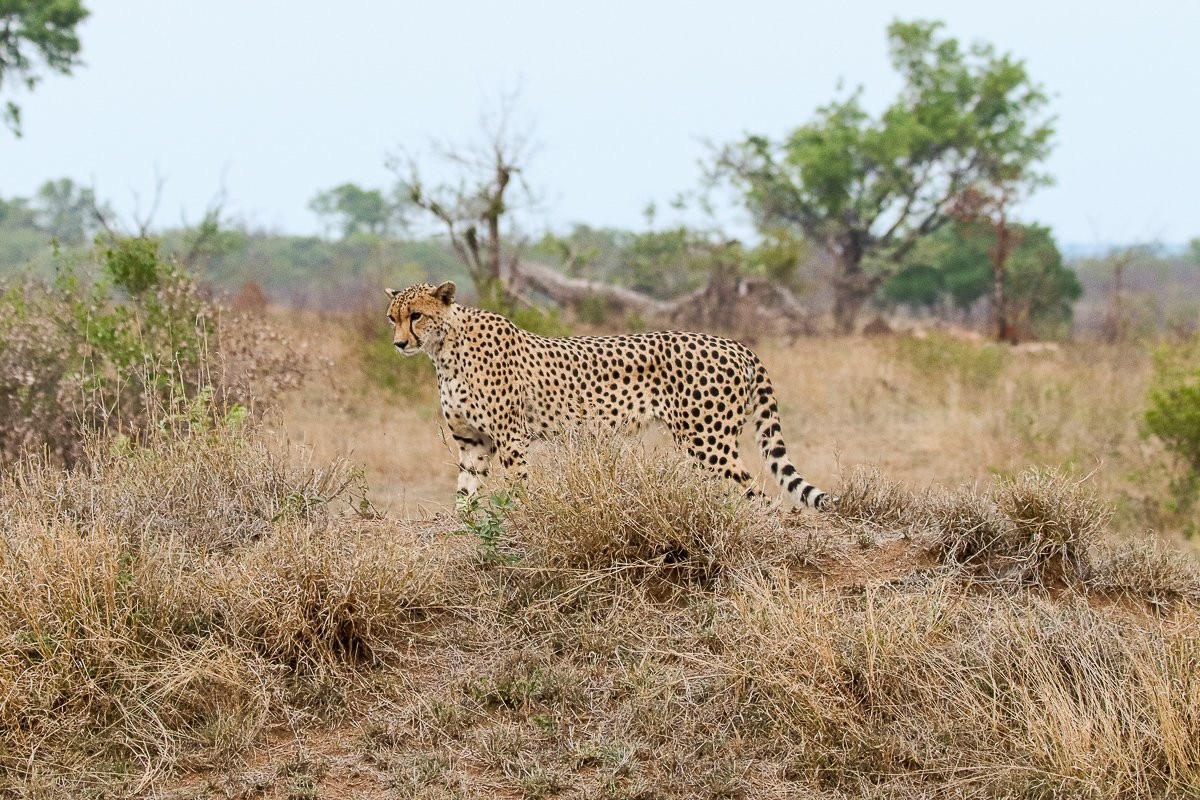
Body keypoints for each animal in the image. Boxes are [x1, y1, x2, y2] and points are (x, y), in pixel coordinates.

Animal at [385, 281, 835, 510]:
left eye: (416, 316)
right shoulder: (472, 441)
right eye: (393, 318)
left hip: (708, 441)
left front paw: (519, 521)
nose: (398, 344)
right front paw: (463, 532)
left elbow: (517, 486)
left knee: (758, 495)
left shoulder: (511, 437)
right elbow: (465, 493)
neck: (445, 347)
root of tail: (736, 344)